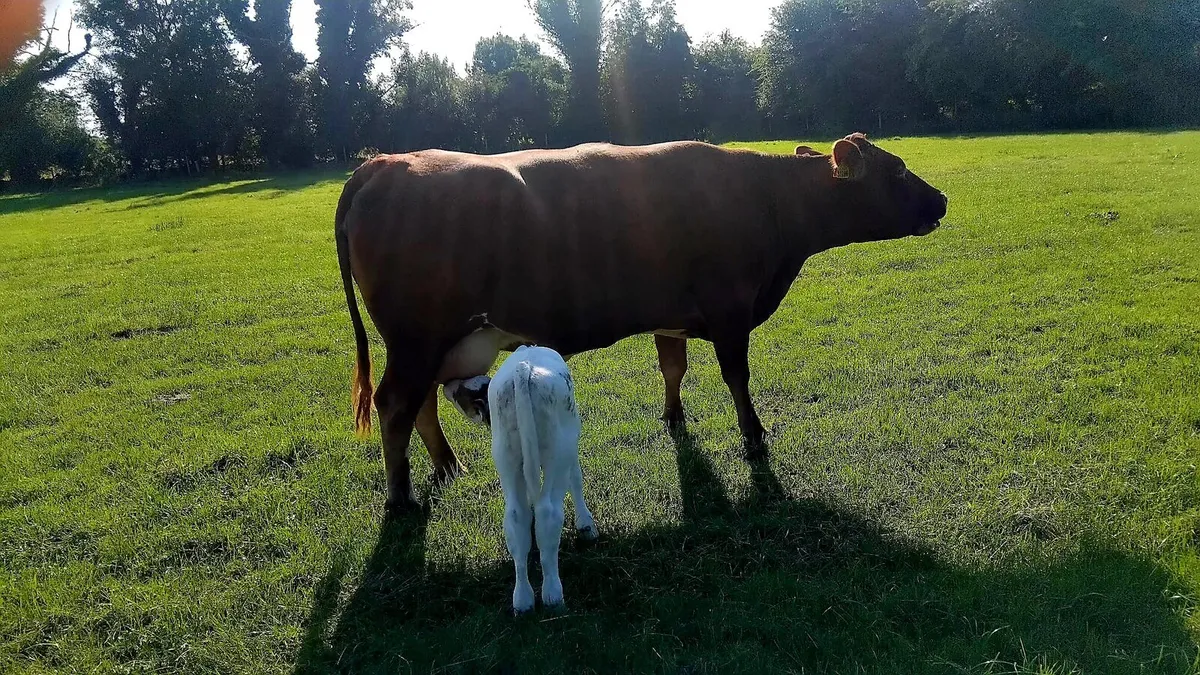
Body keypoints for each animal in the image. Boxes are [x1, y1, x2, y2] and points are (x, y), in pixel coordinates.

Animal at [334, 133, 948, 511]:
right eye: (897, 171)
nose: (942, 199)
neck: (764, 198)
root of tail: (386, 162)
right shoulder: (730, 311)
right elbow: (737, 379)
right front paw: (754, 438)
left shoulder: (670, 317)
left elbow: (673, 369)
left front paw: (674, 419)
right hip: (416, 339)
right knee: (395, 404)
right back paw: (399, 496)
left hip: (435, 343)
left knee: (421, 405)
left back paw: (447, 466)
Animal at [444, 345, 598, 614]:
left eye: (464, 392)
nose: (447, 385)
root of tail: (525, 365)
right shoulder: (571, 451)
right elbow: (576, 479)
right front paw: (586, 525)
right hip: (559, 449)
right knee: (548, 512)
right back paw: (553, 595)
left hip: (506, 456)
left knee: (516, 516)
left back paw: (523, 600)